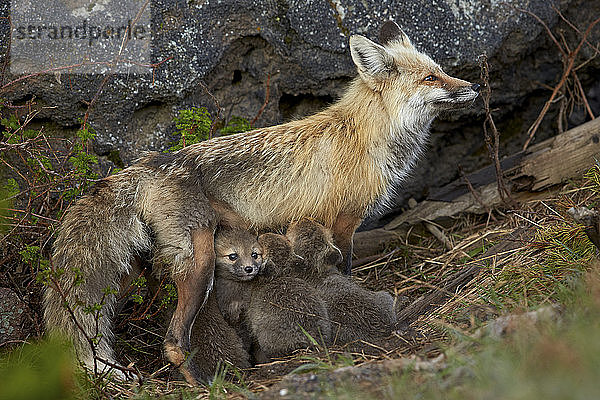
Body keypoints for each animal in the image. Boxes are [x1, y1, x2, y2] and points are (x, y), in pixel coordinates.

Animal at [44, 20, 480, 382]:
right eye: (431, 77)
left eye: (440, 69)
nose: (473, 87)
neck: (364, 136)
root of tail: (147, 164)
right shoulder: (342, 222)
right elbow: (344, 274)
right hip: (200, 262)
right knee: (173, 341)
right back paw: (203, 383)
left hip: (141, 268)